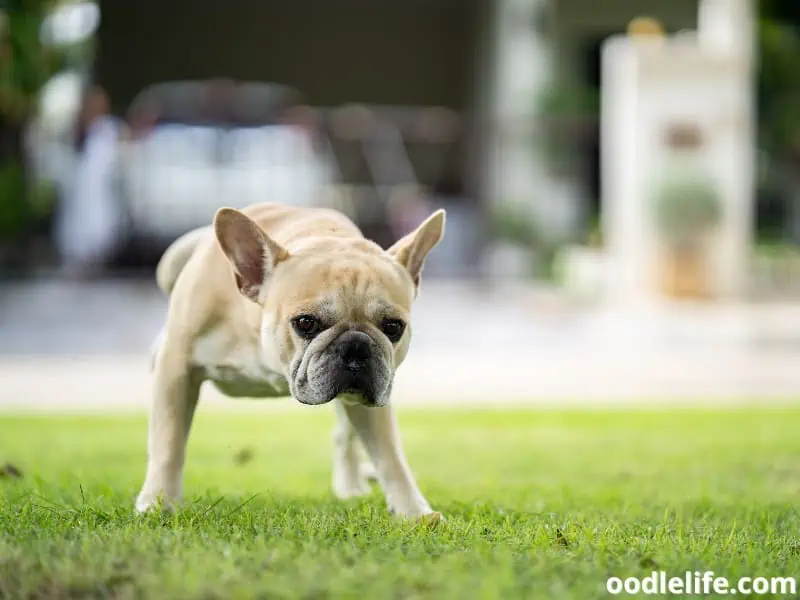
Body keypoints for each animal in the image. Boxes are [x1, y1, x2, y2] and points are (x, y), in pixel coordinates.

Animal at [133, 203, 444, 520]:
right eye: (305, 322)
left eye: (393, 327)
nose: (356, 346)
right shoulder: (177, 367)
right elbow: (168, 441)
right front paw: (158, 502)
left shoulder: (372, 400)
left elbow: (389, 453)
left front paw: (413, 512)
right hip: (169, 264)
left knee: (345, 436)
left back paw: (350, 487)